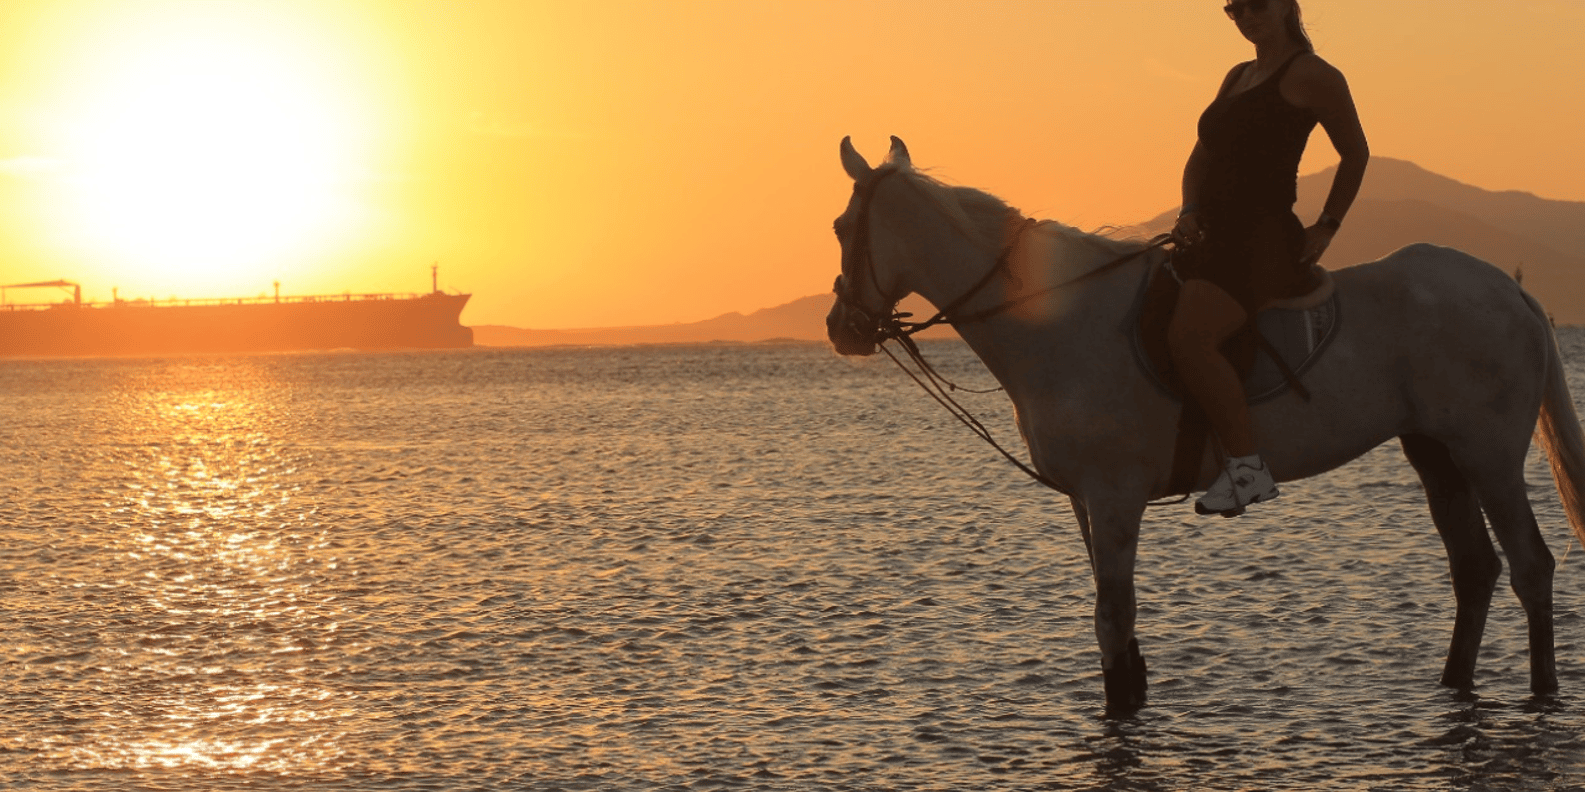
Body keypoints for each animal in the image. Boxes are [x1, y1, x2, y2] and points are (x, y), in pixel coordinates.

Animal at [825, 136, 1585, 714]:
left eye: (839, 228)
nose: (841, 329)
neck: (1058, 319)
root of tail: (1510, 288)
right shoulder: (1086, 500)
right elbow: (1116, 623)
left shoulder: (1115, 494)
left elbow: (1112, 617)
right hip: (1434, 453)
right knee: (1475, 569)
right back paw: (1452, 687)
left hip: (1487, 455)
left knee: (1530, 566)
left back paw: (1542, 695)